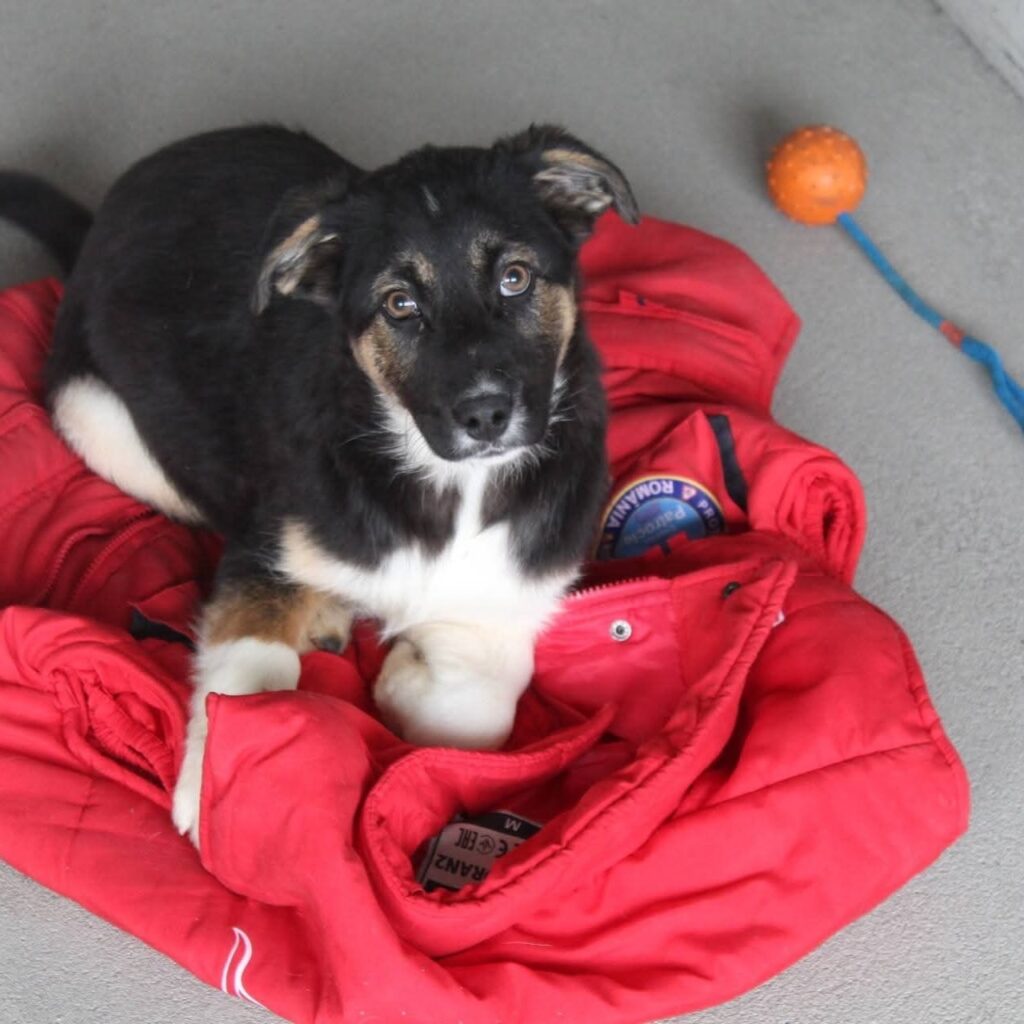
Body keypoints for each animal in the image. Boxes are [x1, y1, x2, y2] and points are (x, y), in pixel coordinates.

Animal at [0, 124, 638, 845]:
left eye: (515, 278)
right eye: (399, 304)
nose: (483, 416)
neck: (452, 484)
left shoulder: (511, 589)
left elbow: (473, 715)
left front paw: (400, 682)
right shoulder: (266, 545)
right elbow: (248, 677)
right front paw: (213, 786)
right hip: (95, 416)